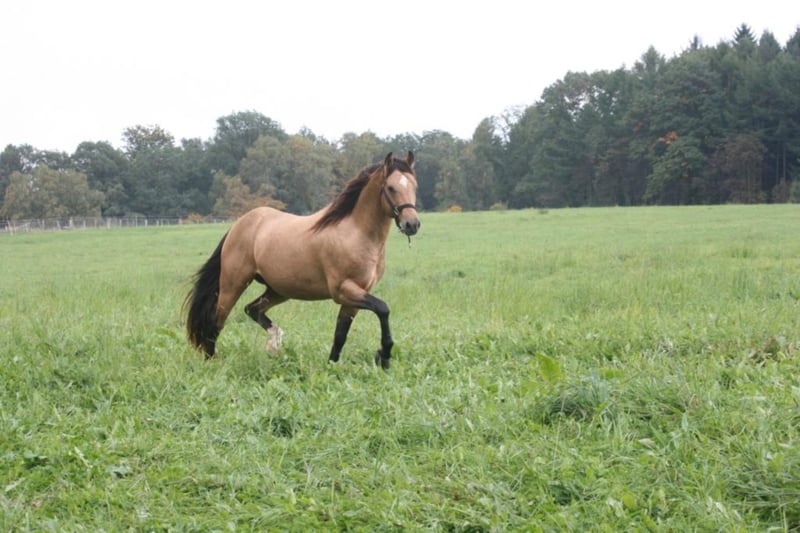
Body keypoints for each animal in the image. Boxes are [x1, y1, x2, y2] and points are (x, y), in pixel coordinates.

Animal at [184, 151, 420, 369]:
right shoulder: (343, 290)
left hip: (279, 289)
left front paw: (333, 365)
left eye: (414, 186)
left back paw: (274, 343)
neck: (355, 233)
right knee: (216, 322)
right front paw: (384, 355)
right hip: (233, 284)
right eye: (391, 187)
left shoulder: (356, 294)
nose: (412, 224)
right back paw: (212, 361)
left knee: (252, 309)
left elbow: (340, 334)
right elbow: (383, 308)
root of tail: (239, 224)